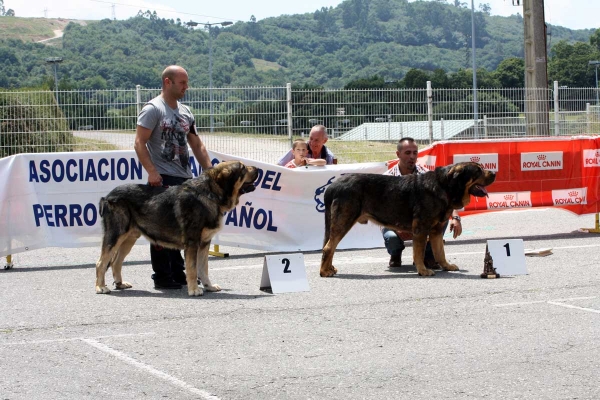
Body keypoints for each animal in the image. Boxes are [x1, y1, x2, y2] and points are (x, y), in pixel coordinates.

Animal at [95, 161, 258, 296]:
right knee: (101, 262)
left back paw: (120, 284)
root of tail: (107, 196)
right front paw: (194, 289)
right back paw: (100, 287)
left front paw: (209, 286)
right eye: (243, 168)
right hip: (115, 235)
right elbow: (192, 268)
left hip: (129, 238)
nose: (257, 169)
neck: (211, 194)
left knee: (116, 262)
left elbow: (203, 268)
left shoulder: (205, 243)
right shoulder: (192, 243)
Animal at [322, 162, 494, 278]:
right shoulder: (421, 229)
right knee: (328, 247)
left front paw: (446, 266)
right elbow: (418, 253)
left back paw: (330, 269)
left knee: (330, 246)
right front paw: (423, 270)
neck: (445, 187)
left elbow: (440, 252)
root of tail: (332, 187)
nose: (493, 173)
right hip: (343, 221)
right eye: (478, 170)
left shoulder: (436, 230)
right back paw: (324, 272)